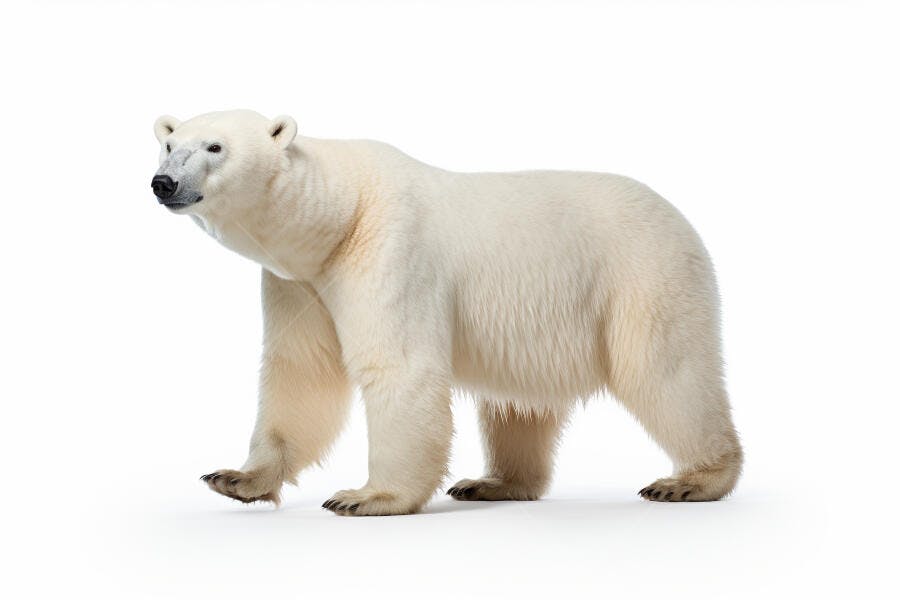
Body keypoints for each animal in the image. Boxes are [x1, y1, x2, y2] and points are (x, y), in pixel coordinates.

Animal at [151, 109, 742, 515]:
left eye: (215, 147)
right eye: (167, 144)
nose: (164, 183)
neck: (341, 214)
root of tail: (682, 219)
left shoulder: (391, 250)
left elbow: (399, 367)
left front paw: (365, 496)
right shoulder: (300, 285)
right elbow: (302, 372)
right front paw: (236, 478)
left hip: (645, 276)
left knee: (666, 373)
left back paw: (691, 479)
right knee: (517, 406)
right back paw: (494, 482)